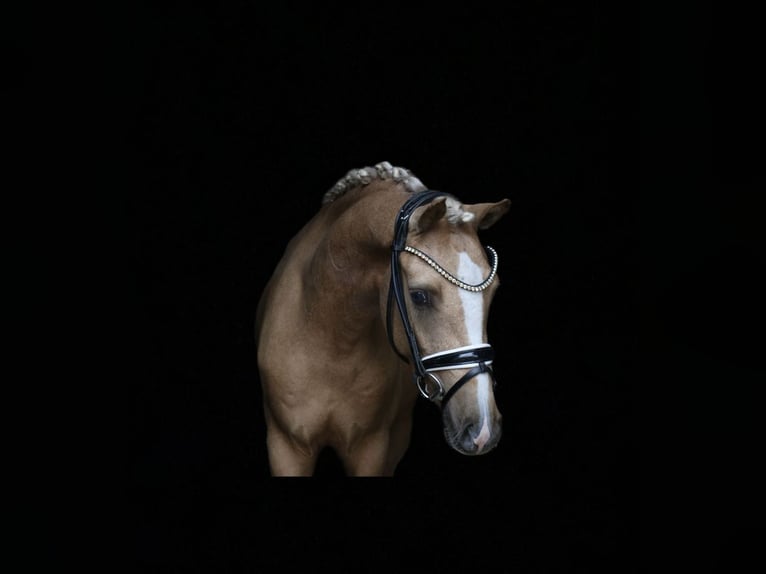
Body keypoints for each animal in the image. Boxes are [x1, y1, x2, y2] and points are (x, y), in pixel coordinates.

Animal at [255, 161, 510, 476]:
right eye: (419, 296)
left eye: (493, 291)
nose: (483, 430)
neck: (330, 341)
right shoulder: (286, 448)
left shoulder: (371, 448)